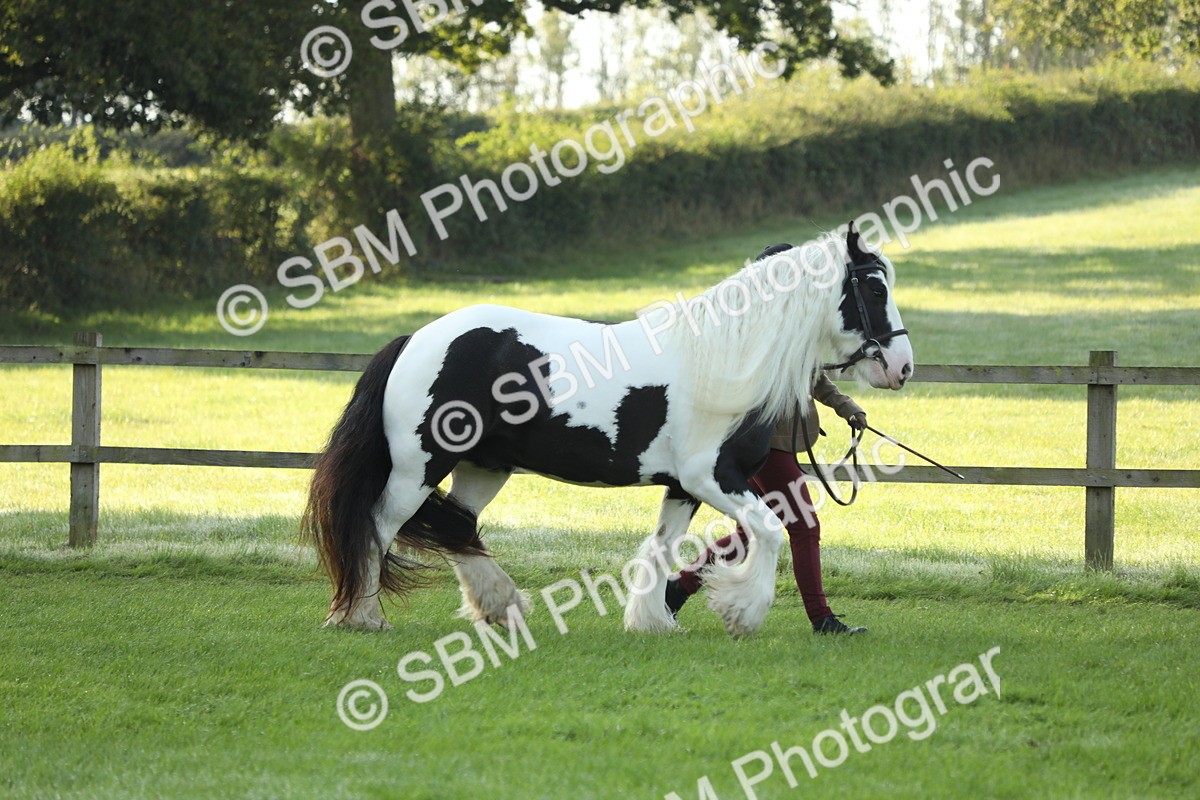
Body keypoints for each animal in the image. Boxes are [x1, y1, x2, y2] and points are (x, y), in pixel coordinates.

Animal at [302, 223, 914, 637]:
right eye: (875, 289)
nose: (902, 367)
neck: (727, 358)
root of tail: (416, 339)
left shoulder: (684, 486)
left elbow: (664, 546)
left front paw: (654, 621)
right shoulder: (713, 475)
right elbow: (767, 530)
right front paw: (741, 612)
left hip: (483, 467)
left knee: (456, 528)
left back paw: (501, 604)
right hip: (419, 465)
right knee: (381, 525)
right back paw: (361, 616)